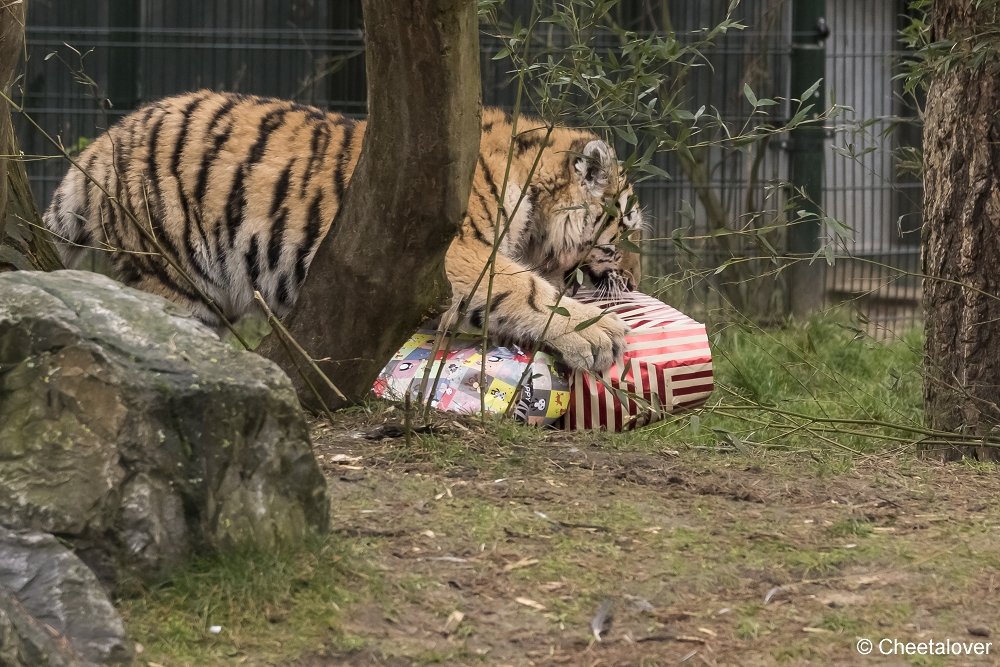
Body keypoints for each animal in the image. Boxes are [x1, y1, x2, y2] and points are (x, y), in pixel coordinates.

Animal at [45, 93, 640, 374]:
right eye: (626, 233)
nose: (635, 283)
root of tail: (96, 149)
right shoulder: (448, 251)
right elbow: (525, 288)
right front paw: (598, 334)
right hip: (170, 271)